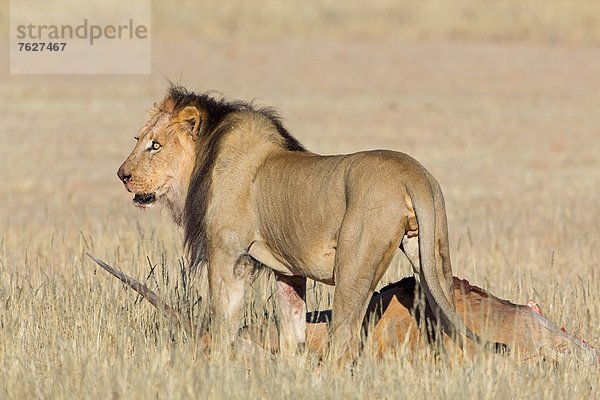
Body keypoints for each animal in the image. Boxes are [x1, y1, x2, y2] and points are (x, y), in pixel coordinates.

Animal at [116, 85, 506, 360]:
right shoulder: (287, 270)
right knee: (448, 317)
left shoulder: (228, 253)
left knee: (345, 338)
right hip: (433, 256)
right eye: (137, 140)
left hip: (355, 264)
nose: (122, 175)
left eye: (154, 145)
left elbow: (225, 316)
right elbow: (292, 325)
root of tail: (413, 175)